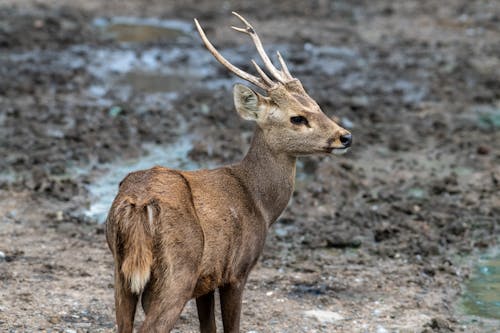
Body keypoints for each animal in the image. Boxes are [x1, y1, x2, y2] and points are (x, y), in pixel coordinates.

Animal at [106, 11, 352, 332]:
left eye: (317, 105)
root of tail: (137, 204)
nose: (345, 136)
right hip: (176, 274)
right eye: (297, 118)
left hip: (121, 272)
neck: (259, 203)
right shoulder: (236, 271)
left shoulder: (206, 280)